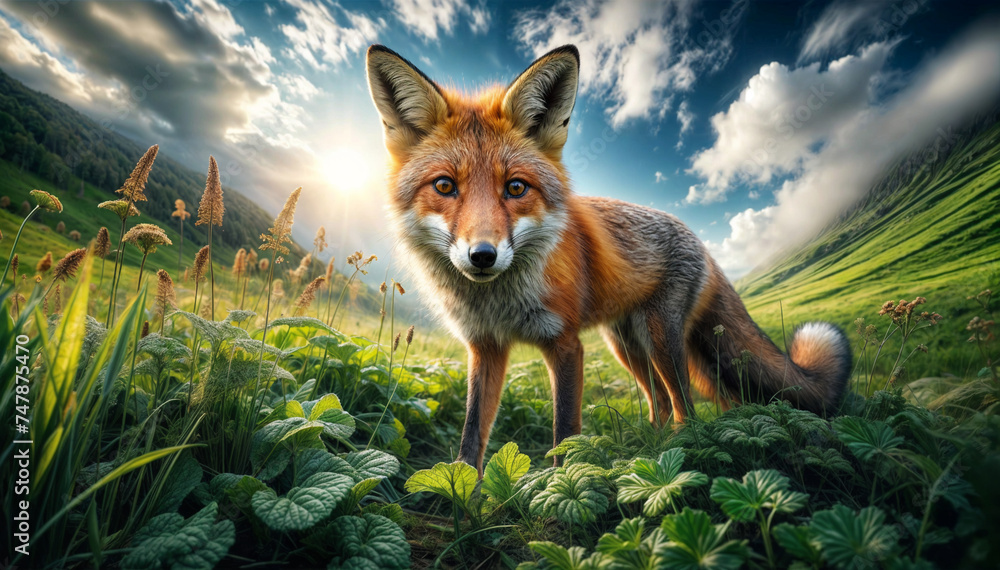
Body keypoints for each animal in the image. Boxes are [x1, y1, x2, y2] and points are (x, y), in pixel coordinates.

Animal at [365, 44, 852, 474]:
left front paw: (556, 489)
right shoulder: (485, 347)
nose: (482, 255)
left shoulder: (565, 343)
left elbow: (564, 431)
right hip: (626, 345)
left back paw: (680, 449)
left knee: (685, 406)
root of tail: (700, 242)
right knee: (660, 403)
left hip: (660, 340)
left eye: (516, 188)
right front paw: (462, 495)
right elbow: (471, 434)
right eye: (445, 186)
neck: (498, 301)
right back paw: (648, 448)